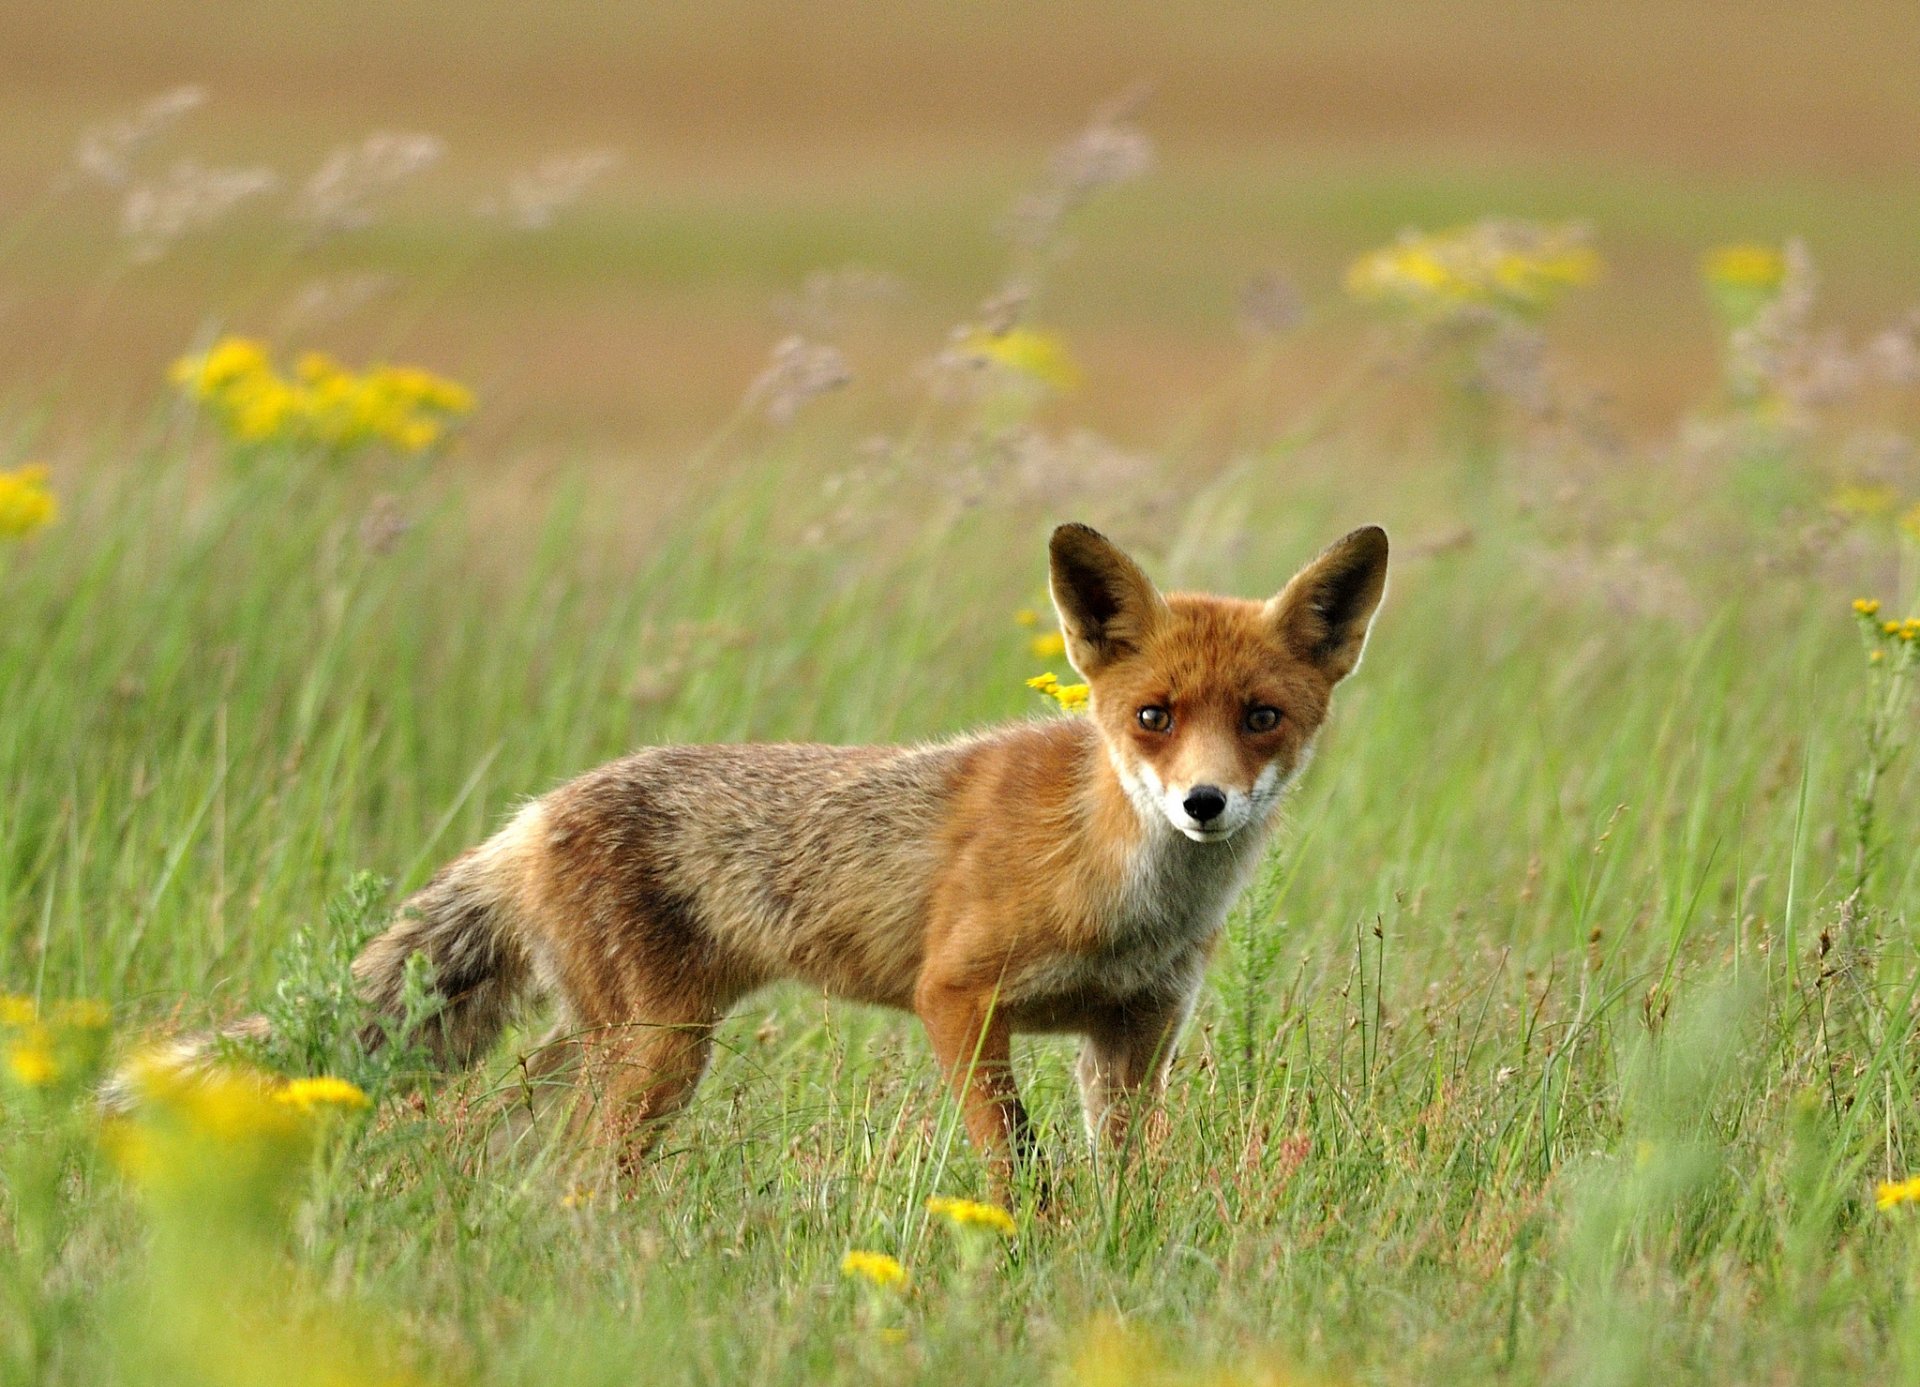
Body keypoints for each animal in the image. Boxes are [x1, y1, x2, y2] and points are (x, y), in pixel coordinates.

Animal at [282, 522, 1388, 1180]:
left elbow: (1128, 1180)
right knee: (566, 1173)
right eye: (1154, 715)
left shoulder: (1132, 1034)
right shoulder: (957, 998)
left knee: (479, 1133)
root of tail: (538, 807)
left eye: (1261, 717)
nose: (1206, 802)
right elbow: (1019, 1168)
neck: (1125, 892)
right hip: (657, 1052)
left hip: (611, 1045)